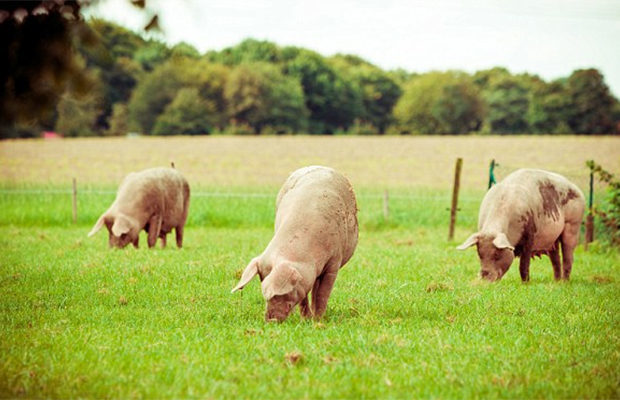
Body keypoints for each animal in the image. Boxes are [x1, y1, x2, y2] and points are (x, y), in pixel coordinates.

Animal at [231, 166, 358, 322]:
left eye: (280, 293)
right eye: (261, 281)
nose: (270, 320)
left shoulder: (334, 261)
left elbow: (323, 293)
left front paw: (318, 320)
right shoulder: (304, 276)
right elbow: (304, 295)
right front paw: (306, 319)